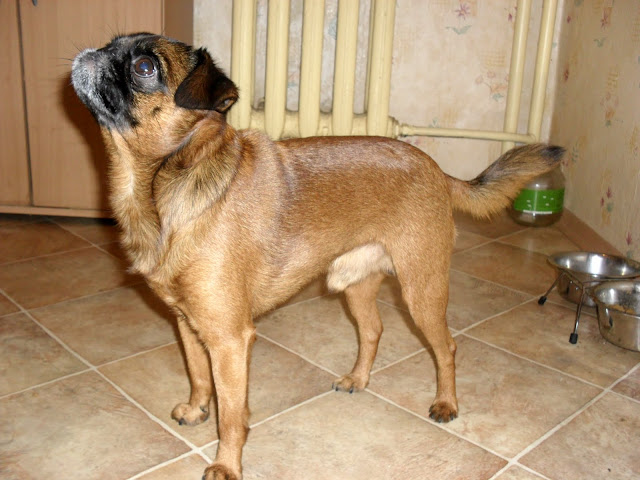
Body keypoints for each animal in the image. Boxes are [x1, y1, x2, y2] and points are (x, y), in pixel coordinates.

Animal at [71, 33, 563, 479]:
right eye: (114, 43)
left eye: (144, 67)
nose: (94, 52)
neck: (166, 184)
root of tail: (438, 171)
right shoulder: (189, 326)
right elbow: (197, 377)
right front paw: (196, 410)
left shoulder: (229, 341)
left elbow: (233, 416)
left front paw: (226, 464)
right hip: (355, 286)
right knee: (373, 330)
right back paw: (357, 380)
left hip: (421, 292)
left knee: (447, 347)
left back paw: (446, 402)